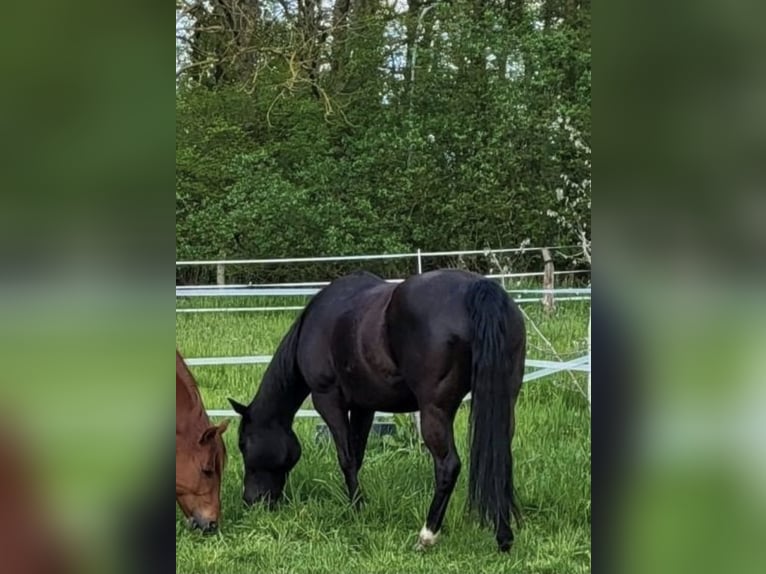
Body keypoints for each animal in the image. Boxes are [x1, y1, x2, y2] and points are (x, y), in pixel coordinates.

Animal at [228, 269, 526, 551]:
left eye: (243, 444)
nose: (251, 501)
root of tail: (478, 288)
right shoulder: (365, 407)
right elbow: (357, 455)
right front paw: (360, 503)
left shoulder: (328, 399)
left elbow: (346, 457)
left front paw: (356, 508)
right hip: (504, 403)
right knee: (500, 458)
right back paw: (504, 536)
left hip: (435, 410)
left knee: (448, 466)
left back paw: (427, 536)